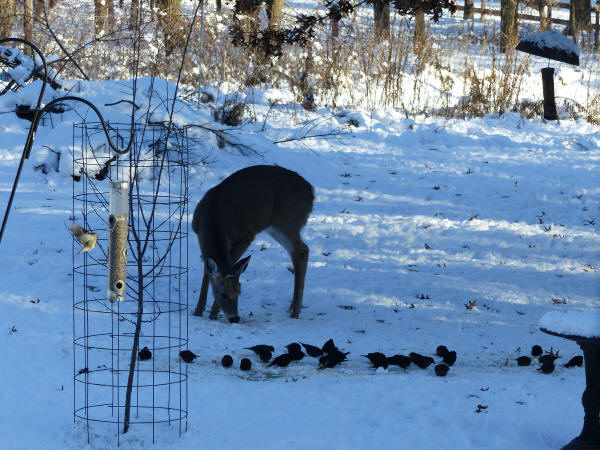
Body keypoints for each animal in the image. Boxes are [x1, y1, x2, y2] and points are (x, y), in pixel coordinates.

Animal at [192, 165, 314, 324]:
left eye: (239, 291)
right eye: (223, 294)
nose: (235, 318)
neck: (212, 219)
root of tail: (311, 192)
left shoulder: (246, 236)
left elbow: (228, 264)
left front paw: (213, 313)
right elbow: (207, 271)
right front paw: (198, 311)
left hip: (287, 220)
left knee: (302, 251)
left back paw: (295, 313)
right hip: (276, 225)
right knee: (300, 251)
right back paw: (292, 308)